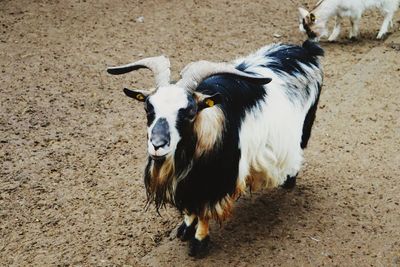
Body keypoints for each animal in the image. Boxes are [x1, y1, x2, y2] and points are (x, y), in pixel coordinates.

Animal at [107, 39, 324, 258]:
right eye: (148, 108)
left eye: (190, 112)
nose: (157, 145)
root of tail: (304, 49)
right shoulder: (190, 180)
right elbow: (190, 208)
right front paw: (185, 228)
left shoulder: (212, 181)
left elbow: (204, 212)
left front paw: (199, 243)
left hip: (306, 124)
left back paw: (289, 181)